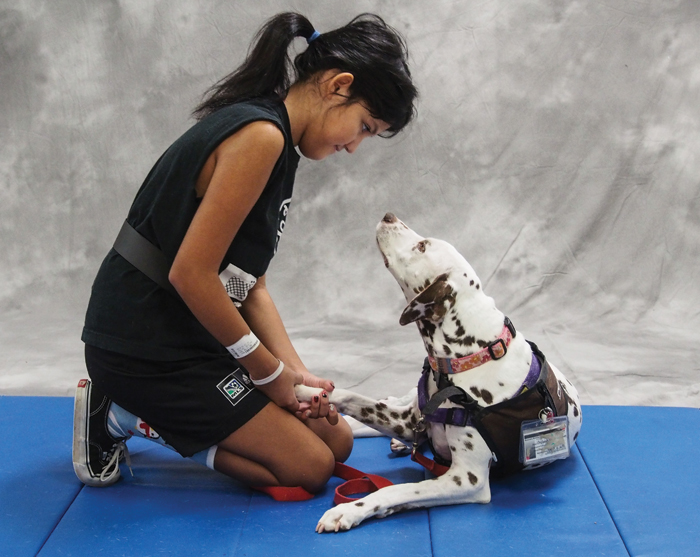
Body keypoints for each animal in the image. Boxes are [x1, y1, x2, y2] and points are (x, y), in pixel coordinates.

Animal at [298, 212, 584, 528]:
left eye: (422, 246)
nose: (388, 215)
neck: (471, 357)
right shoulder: (407, 420)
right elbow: (351, 396)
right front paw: (305, 388)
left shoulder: (467, 479)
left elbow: (398, 490)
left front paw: (349, 510)